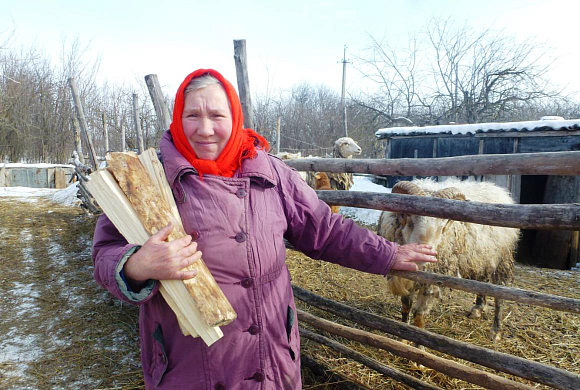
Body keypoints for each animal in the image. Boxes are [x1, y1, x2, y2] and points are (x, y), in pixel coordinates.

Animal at [378, 178, 520, 340]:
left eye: (442, 226)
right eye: (409, 219)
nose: (424, 259)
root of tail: (498, 189)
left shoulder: (432, 281)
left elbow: (419, 316)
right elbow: (406, 307)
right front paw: (402, 335)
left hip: (502, 259)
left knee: (499, 295)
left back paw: (496, 331)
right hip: (481, 258)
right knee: (482, 282)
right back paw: (477, 309)